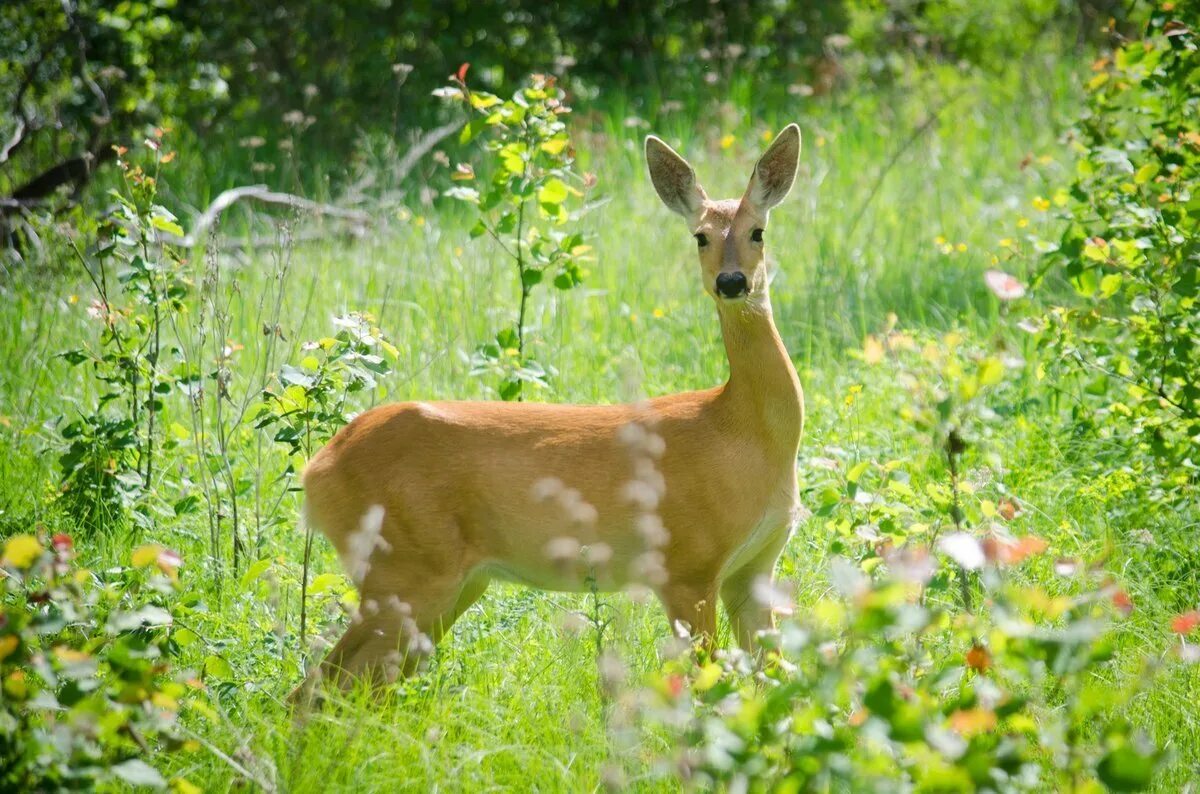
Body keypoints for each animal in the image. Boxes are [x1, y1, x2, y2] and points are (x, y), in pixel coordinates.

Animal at [296, 124, 806, 695]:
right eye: (699, 236)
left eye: (758, 231)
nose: (732, 282)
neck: (742, 431)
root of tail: (318, 469)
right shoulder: (686, 562)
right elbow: (709, 688)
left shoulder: (754, 570)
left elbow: (776, 685)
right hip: (406, 568)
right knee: (317, 687)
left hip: (446, 583)